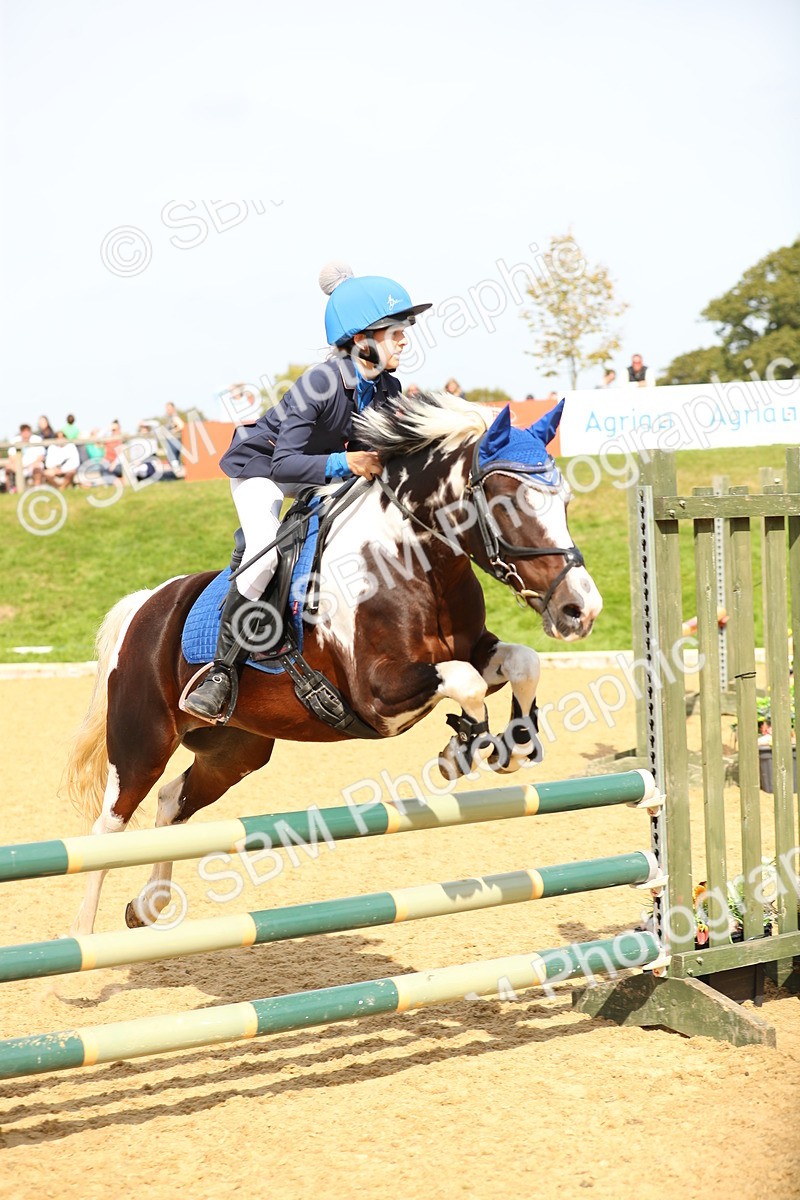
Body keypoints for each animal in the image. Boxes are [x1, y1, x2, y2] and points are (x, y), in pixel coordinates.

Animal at [64, 392, 602, 934]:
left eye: (564, 501)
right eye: (505, 500)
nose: (581, 610)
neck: (410, 560)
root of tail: (145, 604)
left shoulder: (475, 649)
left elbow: (522, 663)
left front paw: (513, 743)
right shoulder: (377, 695)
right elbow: (465, 682)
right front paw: (463, 748)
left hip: (235, 750)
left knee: (172, 801)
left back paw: (148, 905)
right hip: (143, 741)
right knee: (108, 826)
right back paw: (82, 939)